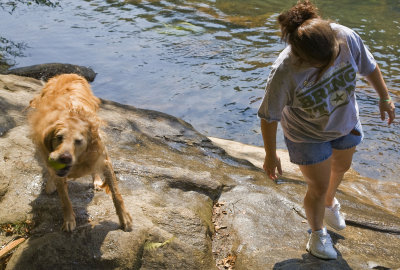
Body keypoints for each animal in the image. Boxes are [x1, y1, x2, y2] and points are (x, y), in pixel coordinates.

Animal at [28, 74, 134, 232]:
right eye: (59, 137)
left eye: (78, 141)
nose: (64, 158)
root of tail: (67, 74)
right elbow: (65, 199)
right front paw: (69, 220)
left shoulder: (104, 159)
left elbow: (116, 194)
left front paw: (124, 218)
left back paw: (96, 180)